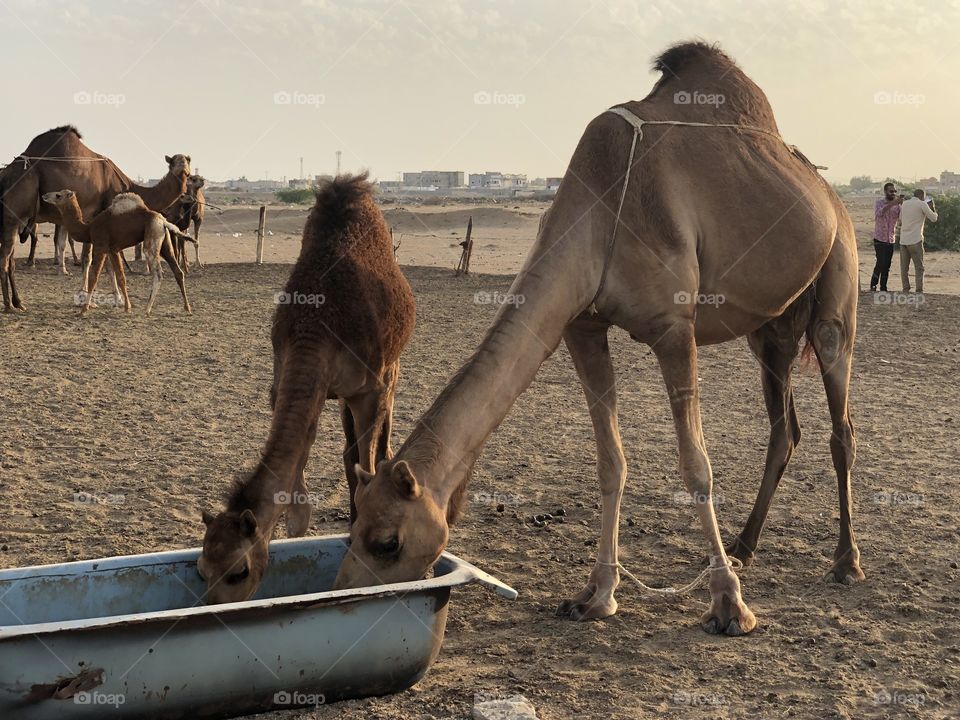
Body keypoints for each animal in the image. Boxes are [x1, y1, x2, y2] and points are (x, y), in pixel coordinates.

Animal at [41, 190, 193, 315]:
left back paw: (147, 308)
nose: (44, 195)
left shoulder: (100, 246)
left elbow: (94, 277)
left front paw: (84, 309)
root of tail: (163, 221)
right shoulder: (113, 250)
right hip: (165, 243)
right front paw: (127, 307)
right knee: (178, 271)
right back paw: (187, 308)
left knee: (158, 273)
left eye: (58, 195)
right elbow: (121, 277)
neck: (88, 229)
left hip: (152, 237)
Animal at [198, 174, 415, 605]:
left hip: (391, 368)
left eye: (238, 571)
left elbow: (366, 465)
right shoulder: (288, 382)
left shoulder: (368, 390)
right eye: (201, 570)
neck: (316, 325)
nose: (212, 610)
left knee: (378, 443)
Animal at [333, 42, 863, 637]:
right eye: (351, 529)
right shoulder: (581, 326)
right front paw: (596, 596)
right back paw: (745, 546)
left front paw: (729, 605)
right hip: (771, 330)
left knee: (840, 420)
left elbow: (696, 466)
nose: (346, 595)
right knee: (784, 427)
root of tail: (826, 188)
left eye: (386, 541)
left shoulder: (674, 328)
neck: (603, 207)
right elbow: (611, 462)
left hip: (837, 278)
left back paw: (845, 561)